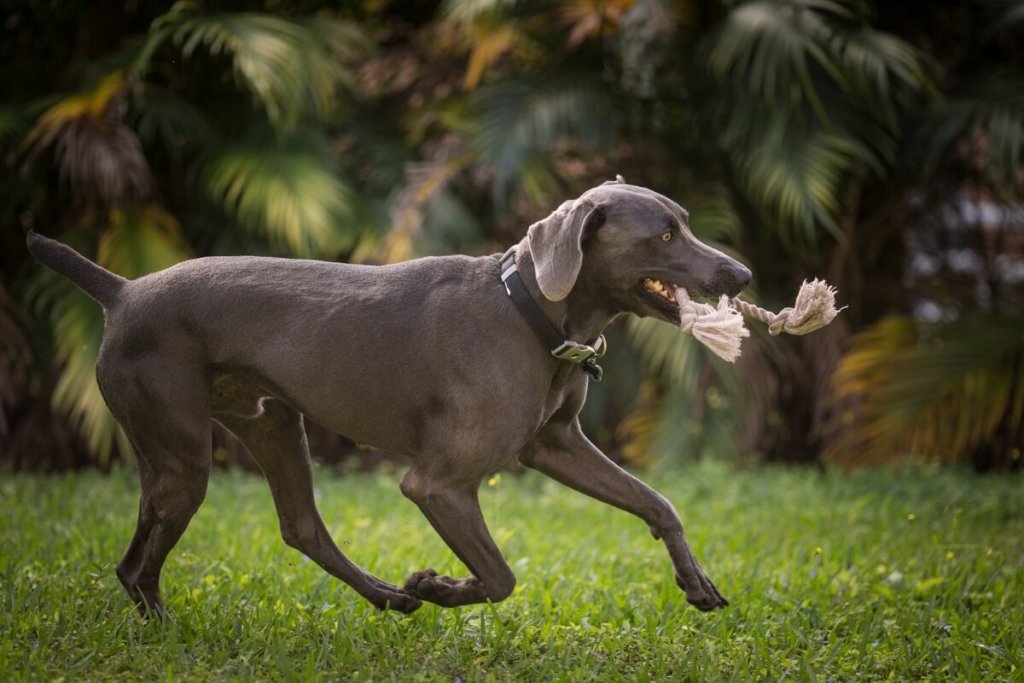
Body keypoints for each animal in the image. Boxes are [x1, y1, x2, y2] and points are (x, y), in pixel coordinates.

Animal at [28, 179, 753, 618]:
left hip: (271, 422)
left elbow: (658, 503)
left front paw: (697, 583)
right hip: (181, 458)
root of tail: (122, 290)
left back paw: (384, 597)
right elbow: (499, 576)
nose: (743, 273)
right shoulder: (439, 484)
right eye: (664, 235)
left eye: (686, 224)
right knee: (136, 567)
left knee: (301, 529)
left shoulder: (556, 446)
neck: (530, 312)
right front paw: (436, 585)